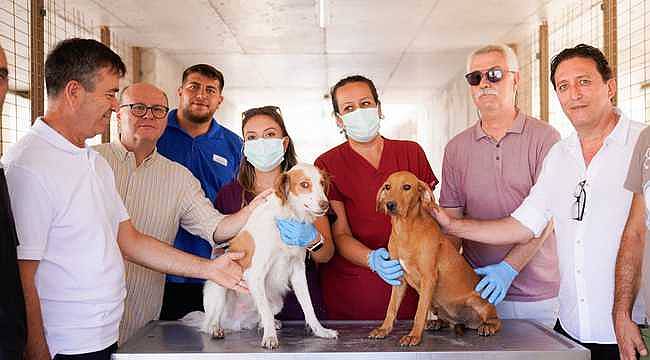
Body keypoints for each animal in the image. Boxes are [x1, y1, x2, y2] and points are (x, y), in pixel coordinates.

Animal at [201, 164, 334, 348]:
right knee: (209, 322)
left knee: (263, 315)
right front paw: (270, 337)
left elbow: (308, 306)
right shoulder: (255, 273)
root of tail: (237, 322)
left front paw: (320, 331)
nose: (325, 205)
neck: (288, 216)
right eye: (304, 184)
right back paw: (215, 329)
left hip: (277, 302)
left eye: (321, 183)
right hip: (219, 286)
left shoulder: (298, 271)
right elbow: (265, 310)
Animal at [368, 171, 498, 346]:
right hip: (437, 305)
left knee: (496, 320)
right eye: (388, 187)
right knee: (447, 321)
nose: (390, 205)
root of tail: (464, 322)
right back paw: (437, 322)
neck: (405, 230)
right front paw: (384, 329)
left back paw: (488, 326)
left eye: (407, 187)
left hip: (478, 301)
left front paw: (413, 336)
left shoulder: (428, 277)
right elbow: (391, 308)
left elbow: (419, 312)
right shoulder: (399, 278)